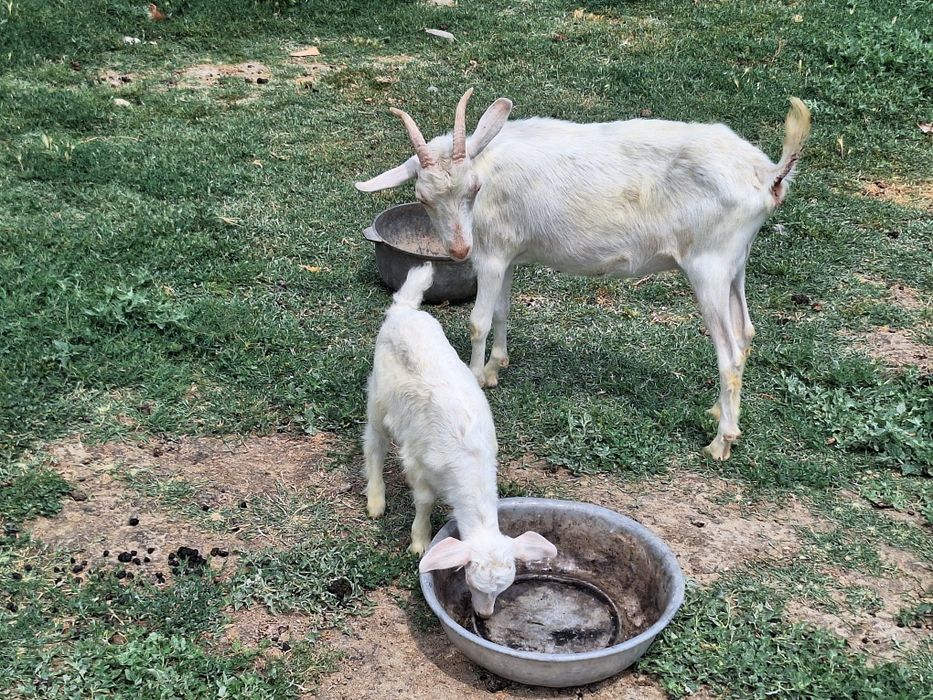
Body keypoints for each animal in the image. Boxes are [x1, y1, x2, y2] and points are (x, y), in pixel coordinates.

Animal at [357, 90, 811, 460]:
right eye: (422, 197)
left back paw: (721, 442)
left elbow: (479, 320)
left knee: (729, 351)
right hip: (736, 263)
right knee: (746, 332)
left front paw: (475, 377)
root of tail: (769, 176)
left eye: (473, 188)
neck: (490, 164)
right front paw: (496, 367)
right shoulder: (507, 254)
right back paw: (720, 410)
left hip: (709, 266)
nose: (457, 250)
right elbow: (503, 310)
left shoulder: (491, 255)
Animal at [363, 262, 557, 617]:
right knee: (374, 444)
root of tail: (403, 309)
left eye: (503, 588)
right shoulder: (419, 463)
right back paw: (375, 500)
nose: (484, 614)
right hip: (379, 397)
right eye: (472, 582)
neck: (470, 461)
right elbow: (424, 501)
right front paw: (419, 542)